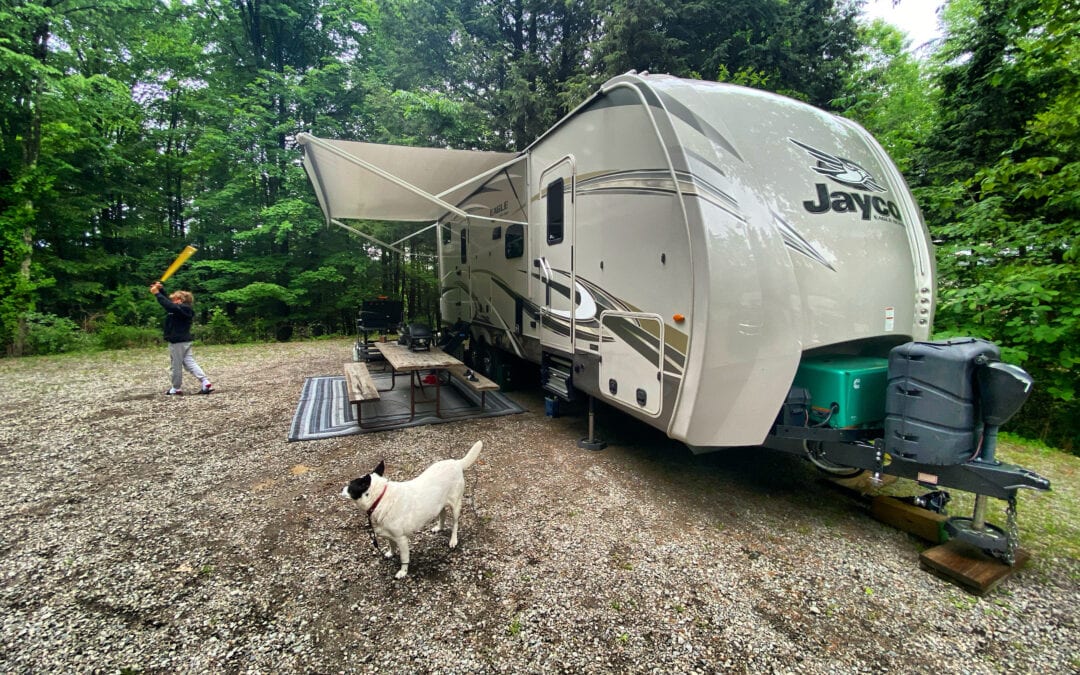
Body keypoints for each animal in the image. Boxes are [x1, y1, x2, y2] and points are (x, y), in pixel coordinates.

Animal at [343, 440, 483, 574]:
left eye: (350, 486)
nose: (341, 489)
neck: (380, 498)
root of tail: (456, 463)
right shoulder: (390, 536)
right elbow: (391, 545)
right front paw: (391, 553)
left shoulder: (402, 540)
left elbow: (404, 559)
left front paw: (403, 572)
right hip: (438, 503)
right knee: (442, 514)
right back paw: (439, 527)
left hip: (456, 506)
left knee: (455, 524)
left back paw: (453, 540)